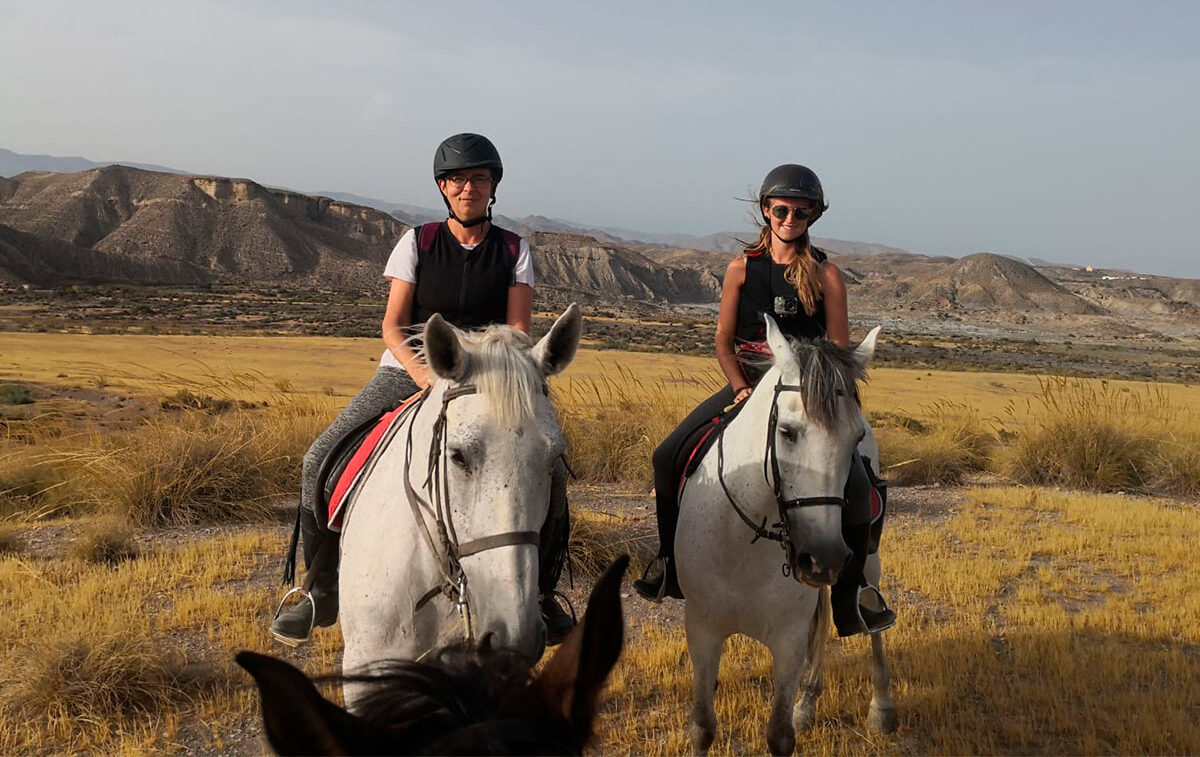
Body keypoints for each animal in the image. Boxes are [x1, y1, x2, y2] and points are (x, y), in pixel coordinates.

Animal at [676, 319, 892, 757]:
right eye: (788, 433)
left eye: (853, 437)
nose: (824, 558)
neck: (744, 542)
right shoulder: (702, 630)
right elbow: (702, 727)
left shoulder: (788, 640)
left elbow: (779, 734)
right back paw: (808, 703)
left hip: (866, 563)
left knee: (870, 617)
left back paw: (880, 709)